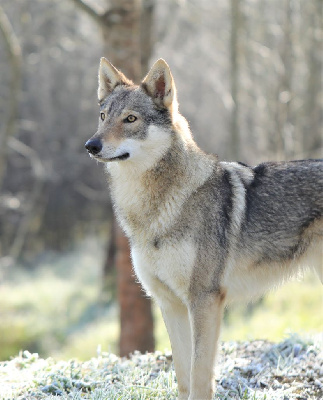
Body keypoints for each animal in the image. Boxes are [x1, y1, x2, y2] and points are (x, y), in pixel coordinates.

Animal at [85, 57, 322, 398]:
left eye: (130, 119)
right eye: (103, 117)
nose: (91, 145)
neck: (156, 211)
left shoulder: (205, 301)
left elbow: (200, 376)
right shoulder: (169, 304)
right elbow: (183, 376)